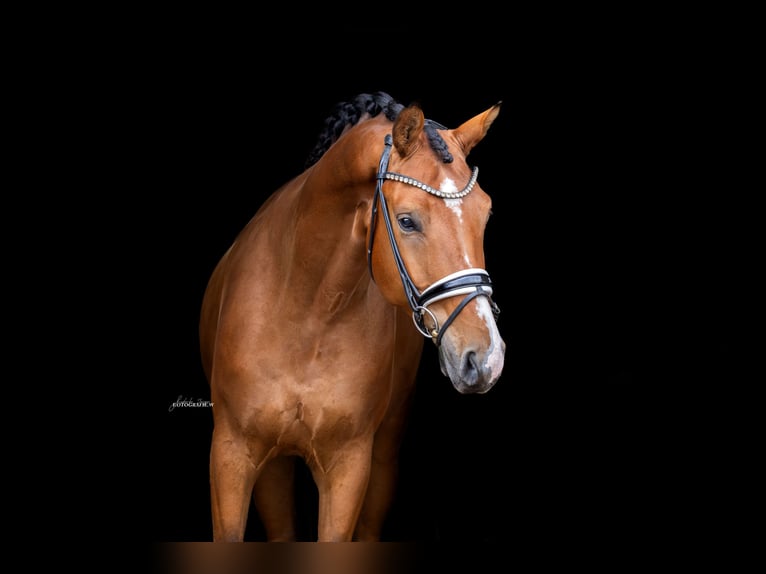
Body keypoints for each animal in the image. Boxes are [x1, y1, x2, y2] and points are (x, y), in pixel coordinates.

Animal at [199, 92, 505, 541]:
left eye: (485, 214)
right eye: (407, 221)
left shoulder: (348, 466)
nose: (486, 359)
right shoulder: (231, 456)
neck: (307, 310)